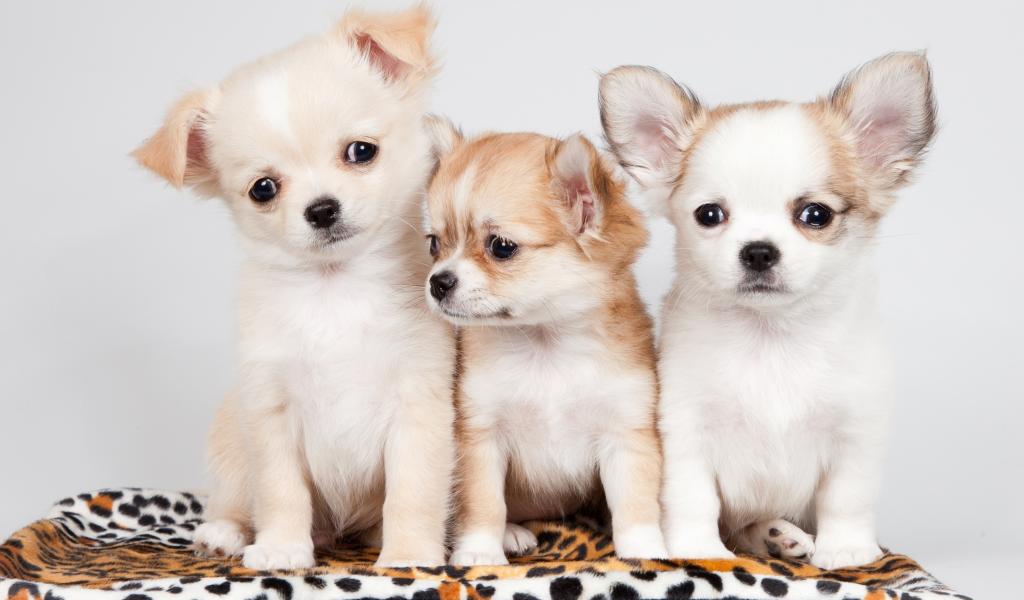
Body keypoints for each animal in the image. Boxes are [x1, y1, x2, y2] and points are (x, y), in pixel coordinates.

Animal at [133, 7, 456, 569]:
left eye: (361, 152)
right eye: (264, 189)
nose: (322, 209)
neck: (335, 290)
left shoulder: (421, 405)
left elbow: (413, 492)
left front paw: (410, 554)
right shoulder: (270, 413)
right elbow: (280, 491)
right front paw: (282, 548)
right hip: (230, 443)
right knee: (233, 501)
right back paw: (223, 533)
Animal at [421, 123, 667, 565]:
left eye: (501, 247)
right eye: (434, 244)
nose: (438, 281)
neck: (545, 345)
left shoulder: (626, 434)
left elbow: (635, 503)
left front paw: (645, 550)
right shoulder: (480, 437)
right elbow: (483, 503)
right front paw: (480, 552)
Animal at [599, 52, 936, 568]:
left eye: (815, 215)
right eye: (709, 215)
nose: (758, 251)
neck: (772, 338)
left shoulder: (855, 432)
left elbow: (846, 497)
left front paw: (846, 550)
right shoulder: (686, 429)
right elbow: (693, 497)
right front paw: (697, 549)